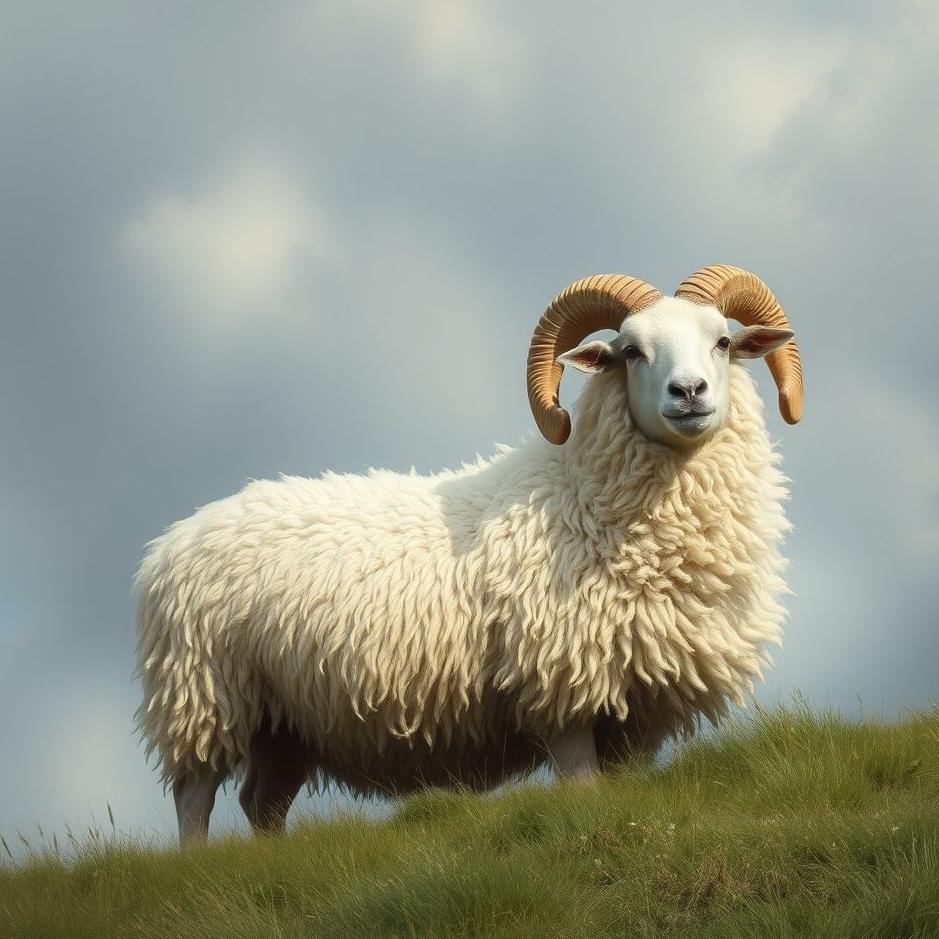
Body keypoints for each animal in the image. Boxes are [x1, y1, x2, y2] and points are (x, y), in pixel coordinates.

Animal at [135, 264, 803, 844]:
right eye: (631, 351)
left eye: (722, 341)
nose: (688, 392)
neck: (581, 495)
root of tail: (170, 540)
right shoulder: (559, 688)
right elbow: (582, 789)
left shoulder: (639, 708)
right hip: (203, 693)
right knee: (194, 798)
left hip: (284, 720)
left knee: (261, 803)